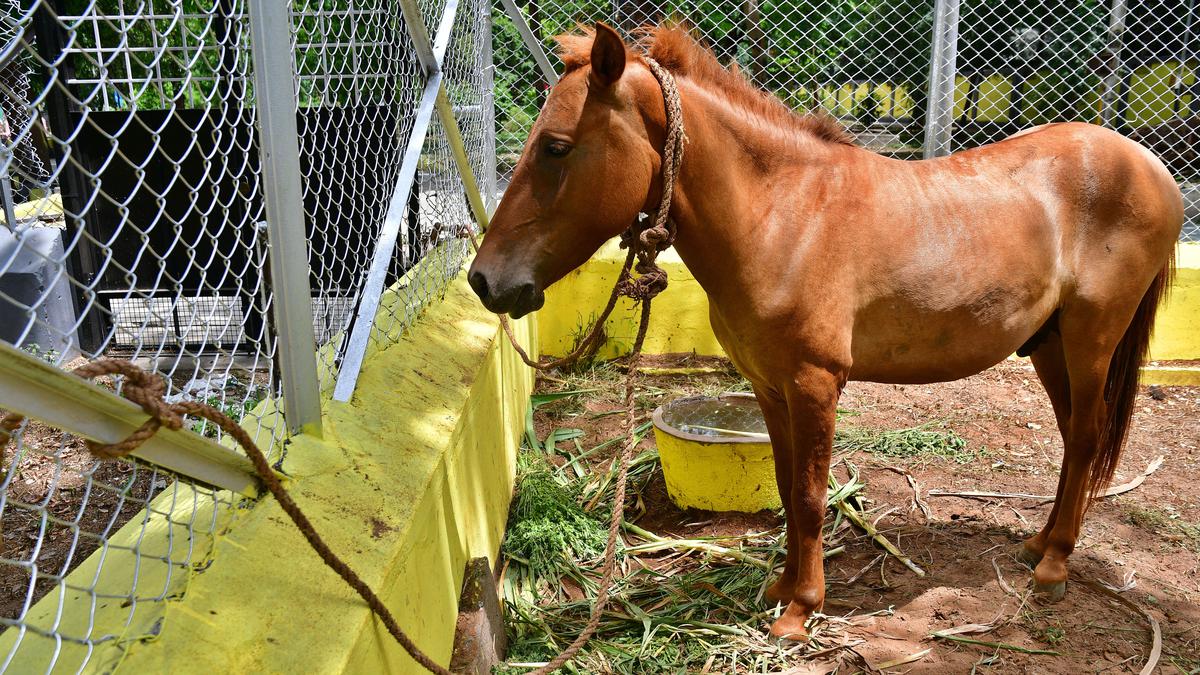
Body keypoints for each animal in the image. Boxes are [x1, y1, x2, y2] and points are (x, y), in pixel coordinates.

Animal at [468, 23, 1180, 638]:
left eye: (555, 147)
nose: (484, 280)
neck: (783, 214)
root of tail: (1151, 166)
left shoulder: (815, 383)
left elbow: (811, 496)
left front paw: (800, 610)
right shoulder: (770, 387)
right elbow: (787, 491)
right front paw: (780, 589)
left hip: (1091, 340)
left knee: (1085, 438)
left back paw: (1055, 566)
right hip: (1050, 346)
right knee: (1075, 440)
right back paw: (1039, 545)